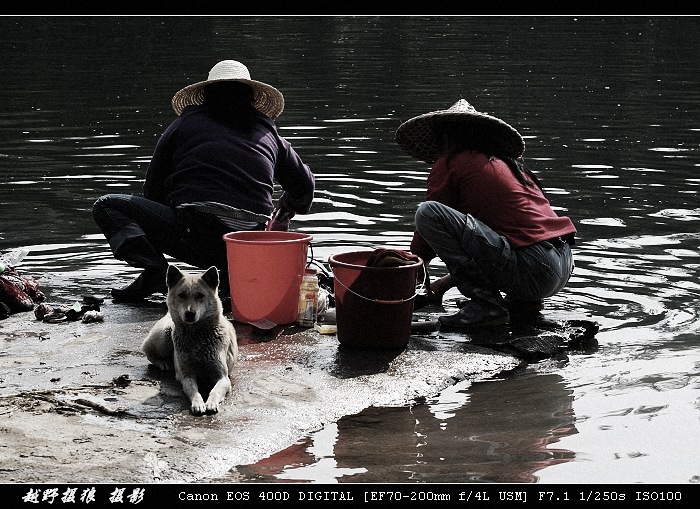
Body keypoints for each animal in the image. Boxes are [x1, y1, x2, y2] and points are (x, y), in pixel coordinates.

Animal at [141, 264, 239, 414]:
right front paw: (198, 403)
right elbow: (193, 390)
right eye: (182, 295)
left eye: (200, 295)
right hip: (164, 335)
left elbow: (215, 391)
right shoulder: (187, 376)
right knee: (148, 352)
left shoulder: (223, 378)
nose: (189, 314)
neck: (197, 335)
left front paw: (211, 403)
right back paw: (163, 363)